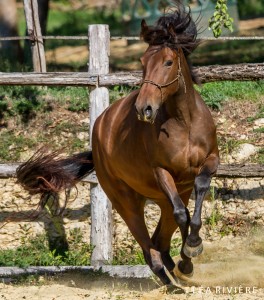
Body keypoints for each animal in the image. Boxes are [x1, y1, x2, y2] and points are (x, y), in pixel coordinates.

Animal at [16, 5, 219, 286]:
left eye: (168, 62)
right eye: (143, 62)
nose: (144, 109)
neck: (184, 122)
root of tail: (100, 126)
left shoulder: (209, 162)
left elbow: (199, 192)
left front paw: (191, 248)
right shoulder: (161, 172)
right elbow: (182, 214)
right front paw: (189, 256)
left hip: (165, 194)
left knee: (160, 238)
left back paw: (175, 270)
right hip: (126, 200)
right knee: (149, 245)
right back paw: (169, 280)